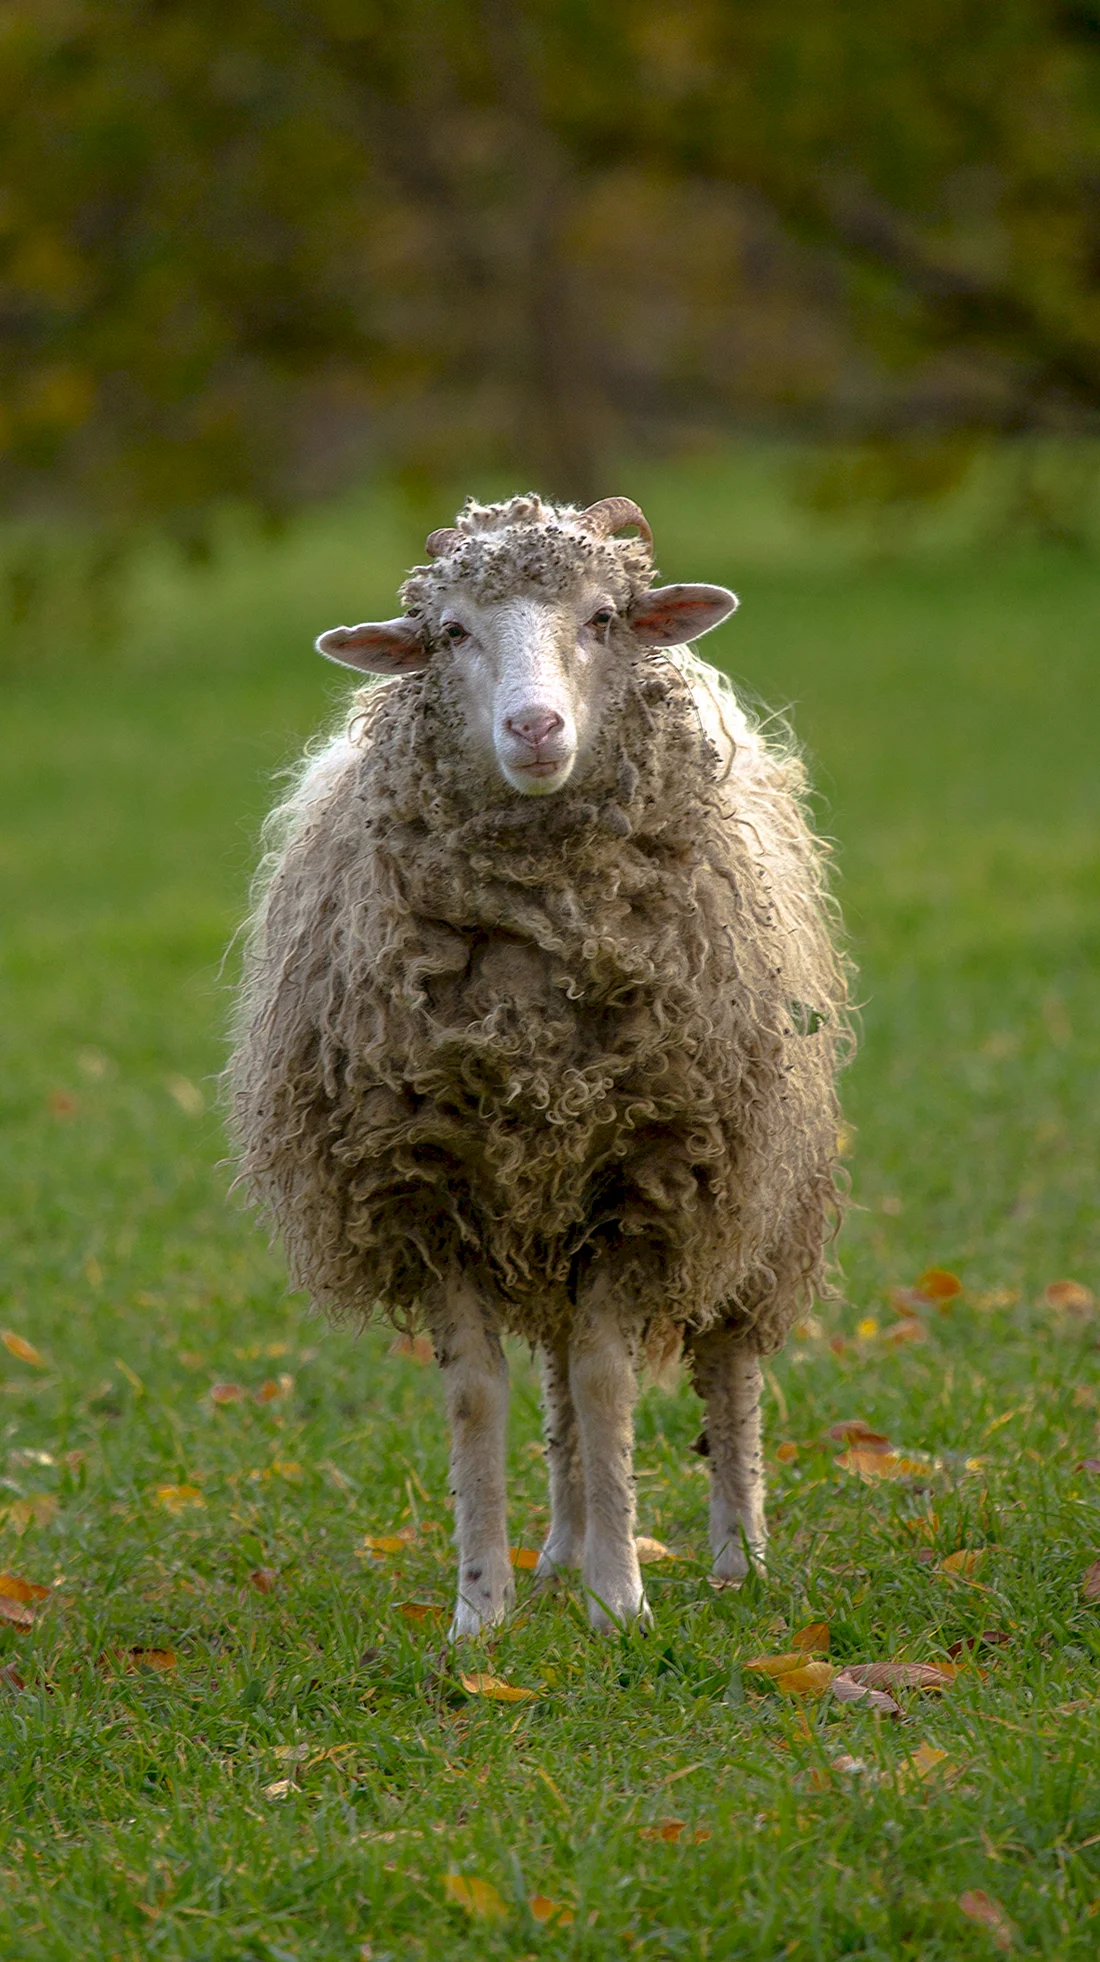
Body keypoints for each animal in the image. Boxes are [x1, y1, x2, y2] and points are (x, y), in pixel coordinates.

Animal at [229, 492, 852, 1637]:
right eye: (449, 632)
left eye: (603, 617)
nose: (533, 729)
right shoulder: (431, 1188)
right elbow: (484, 1393)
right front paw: (484, 1610)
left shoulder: (648, 1176)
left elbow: (610, 1382)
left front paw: (621, 1602)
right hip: (544, 1203)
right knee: (557, 1367)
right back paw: (561, 1545)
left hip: (760, 1188)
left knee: (726, 1365)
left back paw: (736, 1555)